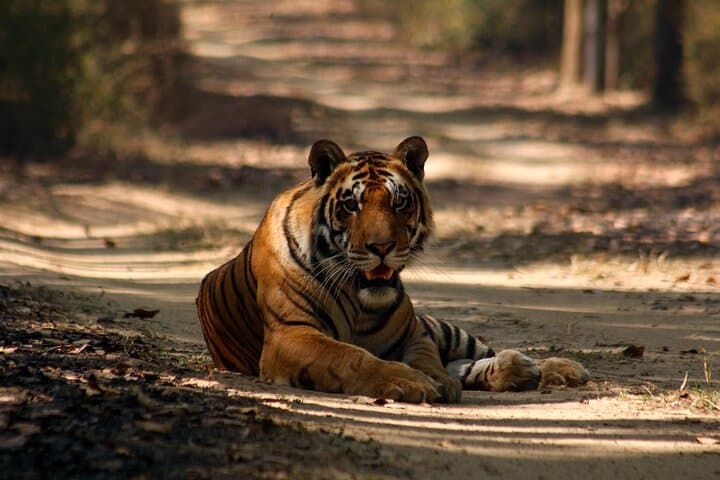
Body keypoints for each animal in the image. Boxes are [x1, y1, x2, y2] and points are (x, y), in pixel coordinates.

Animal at [196, 136, 589, 403]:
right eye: (351, 205)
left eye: (399, 202)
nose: (381, 247)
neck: (361, 302)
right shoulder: (291, 335)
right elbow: (351, 356)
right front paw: (411, 382)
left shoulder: (414, 331)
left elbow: (428, 359)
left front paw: (436, 381)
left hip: (443, 328)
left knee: (480, 353)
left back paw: (555, 369)